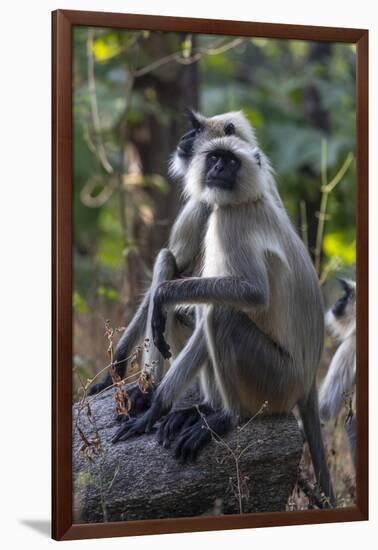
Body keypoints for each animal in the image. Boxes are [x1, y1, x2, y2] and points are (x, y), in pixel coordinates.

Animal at [113, 111, 336, 508]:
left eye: (228, 161)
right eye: (214, 157)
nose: (186, 141)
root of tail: (307, 380)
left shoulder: (220, 214)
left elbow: (249, 293)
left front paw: (153, 403)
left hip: (275, 379)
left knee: (216, 311)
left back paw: (224, 416)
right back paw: (197, 407)